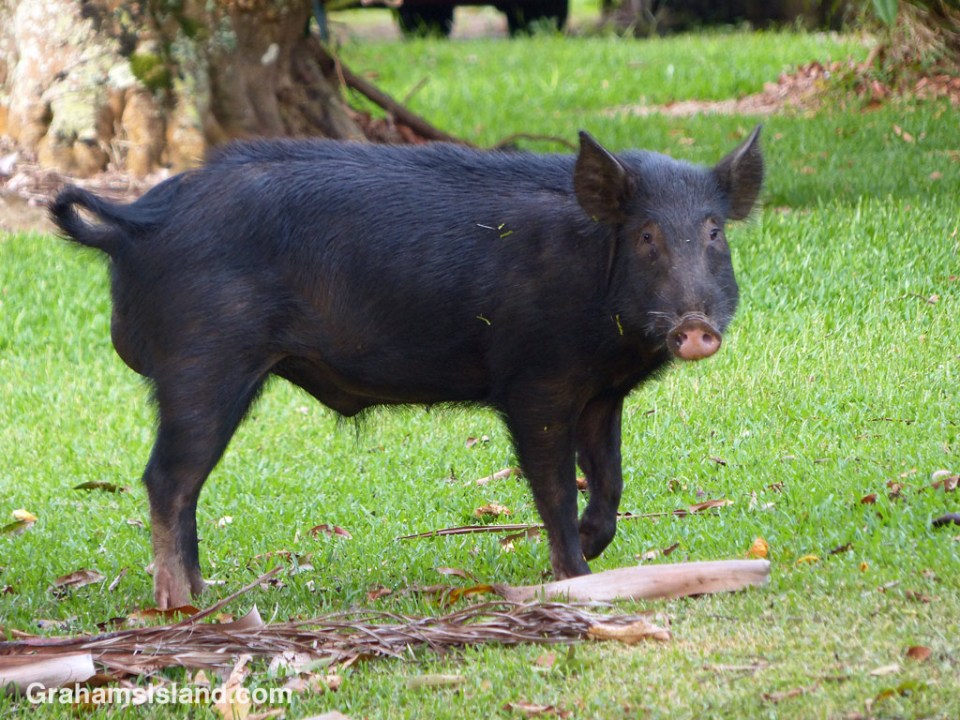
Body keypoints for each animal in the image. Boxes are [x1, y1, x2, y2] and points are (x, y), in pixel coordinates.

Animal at [51, 128, 763, 609]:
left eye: (714, 233)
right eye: (646, 237)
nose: (695, 325)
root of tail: (137, 222)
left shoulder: (601, 394)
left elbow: (609, 481)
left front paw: (592, 547)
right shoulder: (533, 382)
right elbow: (554, 487)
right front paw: (577, 579)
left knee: (182, 486)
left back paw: (204, 590)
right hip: (202, 364)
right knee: (165, 480)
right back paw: (181, 604)